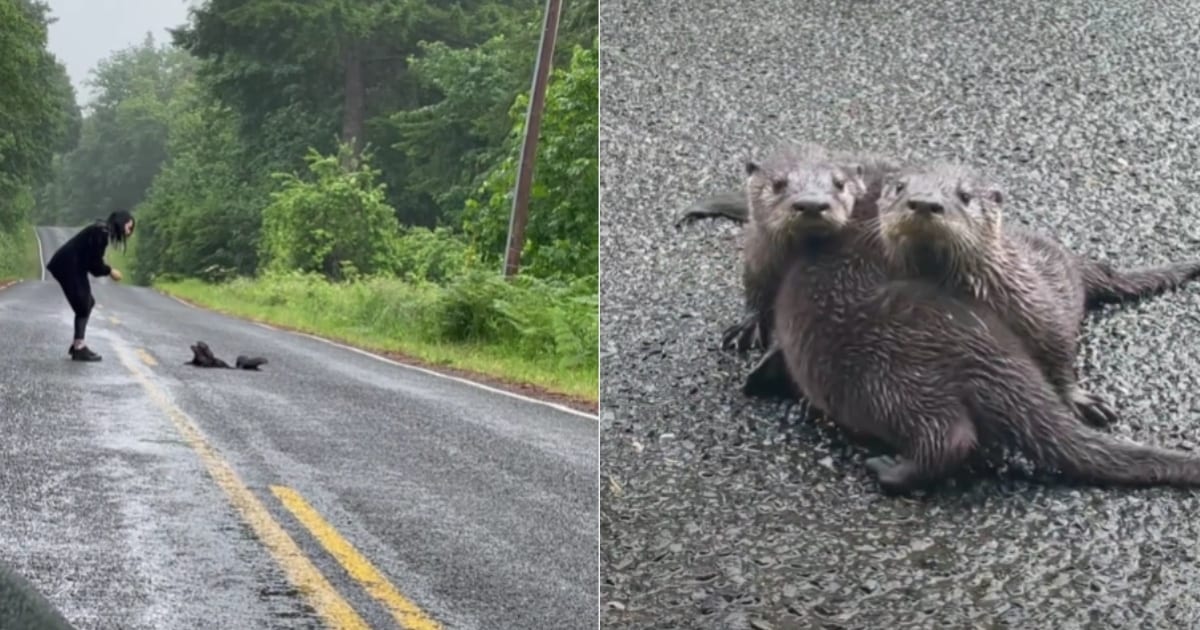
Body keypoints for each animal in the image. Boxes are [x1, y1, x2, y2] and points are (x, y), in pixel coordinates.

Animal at [751, 151, 1200, 492]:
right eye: (900, 188)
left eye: (965, 196)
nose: (924, 202)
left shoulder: (1038, 308)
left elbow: (1058, 350)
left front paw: (1079, 398)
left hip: (890, 382)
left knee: (950, 437)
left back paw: (886, 470)